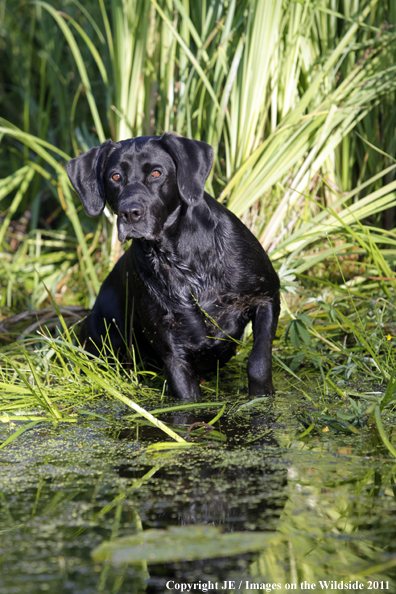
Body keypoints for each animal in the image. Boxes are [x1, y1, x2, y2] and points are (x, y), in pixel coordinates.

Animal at [66, 134, 280, 400]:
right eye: (115, 177)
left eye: (156, 173)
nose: (130, 213)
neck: (183, 263)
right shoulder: (172, 350)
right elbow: (187, 397)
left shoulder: (266, 296)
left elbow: (259, 361)